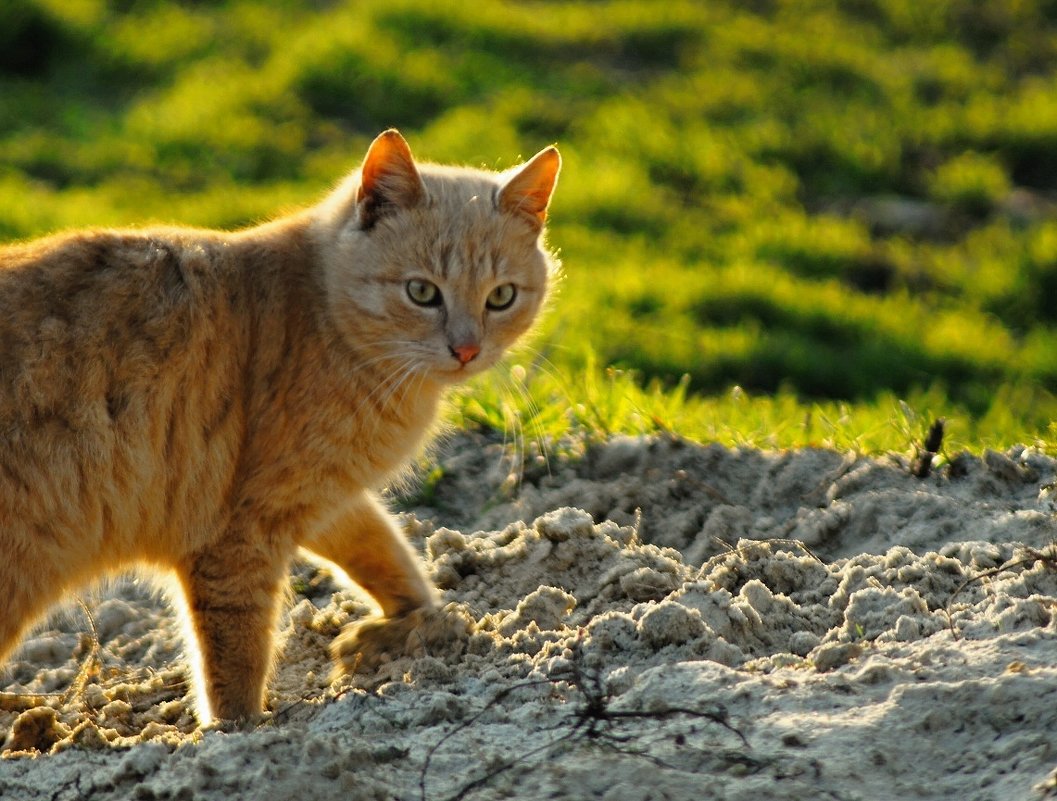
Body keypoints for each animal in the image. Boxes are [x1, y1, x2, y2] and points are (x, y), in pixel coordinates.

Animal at [0, 128, 562, 722]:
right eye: (422, 292)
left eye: (500, 297)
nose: (467, 349)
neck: (321, 316)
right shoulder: (240, 532)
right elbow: (237, 653)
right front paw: (238, 729)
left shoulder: (323, 496)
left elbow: (385, 550)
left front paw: (421, 621)